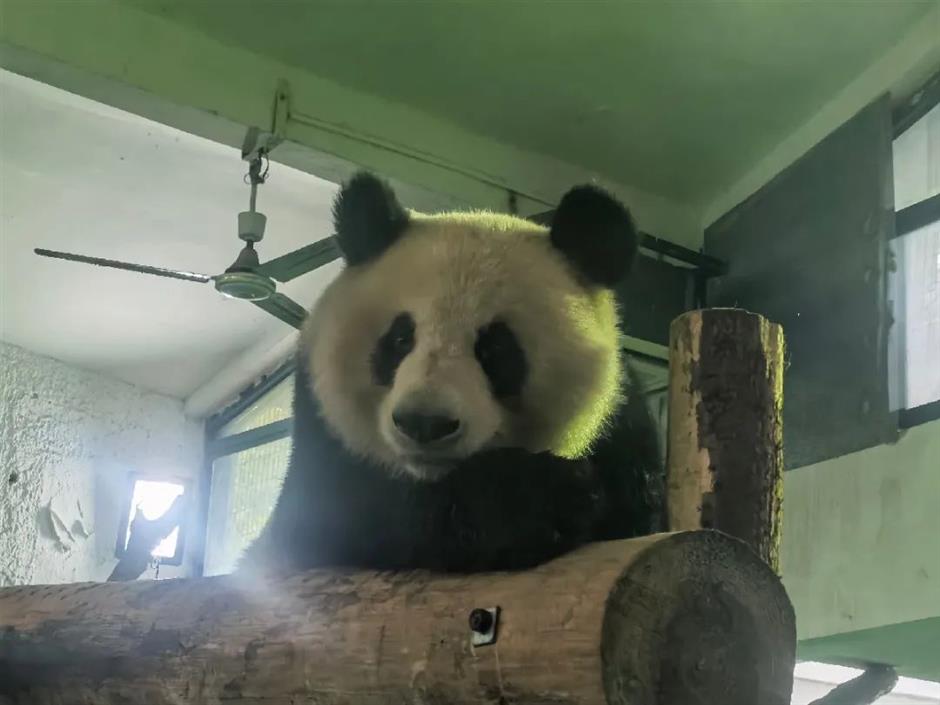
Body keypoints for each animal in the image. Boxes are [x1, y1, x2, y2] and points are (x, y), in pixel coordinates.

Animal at [246, 173, 664, 576]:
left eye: (496, 349)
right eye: (401, 338)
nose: (424, 423)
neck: (432, 478)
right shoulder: (320, 459)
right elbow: (353, 516)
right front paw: (550, 498)